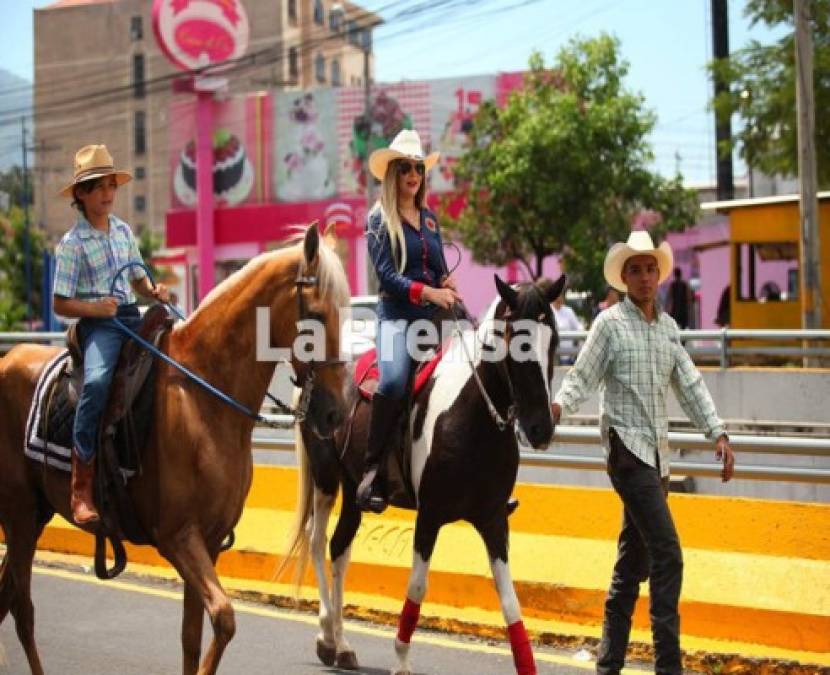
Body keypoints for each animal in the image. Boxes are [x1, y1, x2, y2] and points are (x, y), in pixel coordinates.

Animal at [0, 224, 352, 672]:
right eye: (319, 316)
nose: (336, 412)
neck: (203, 395)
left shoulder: (209, 541)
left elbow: (192, 636)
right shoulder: (179, 537)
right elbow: (224, 618)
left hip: (33, 515)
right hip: (20, 514)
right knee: (22, 609)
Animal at [284, 274, 564, 675]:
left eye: (553, 341)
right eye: (517, 342)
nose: (541, 428)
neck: (472, 416)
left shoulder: (494, 520)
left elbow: (510, 601)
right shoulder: (429, 517)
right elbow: (416, 588)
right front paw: (401, 659)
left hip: (354, 488)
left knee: (340, 548)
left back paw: (342, 644)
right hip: (325, 478)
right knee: (318, 541)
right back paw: (326, 636)